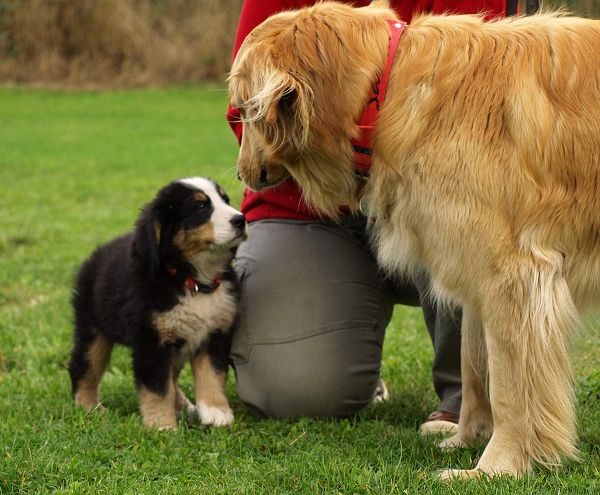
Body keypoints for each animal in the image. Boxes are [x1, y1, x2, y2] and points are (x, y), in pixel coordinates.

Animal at [69, 178, 246, 430]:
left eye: (226, 199)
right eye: (201, 206)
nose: (241, 220)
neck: (193, 282)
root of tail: (95, 256)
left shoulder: (215, 333)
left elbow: (212, 374)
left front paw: (216, 412)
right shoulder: (151, 341)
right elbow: (157, 388)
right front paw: (162, 425)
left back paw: (185, 406)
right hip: (93, 329)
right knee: (84, 367)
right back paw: (89, 406)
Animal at [227, 0, 600, 480]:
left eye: (242, 110)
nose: (241, 175)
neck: (386, 90)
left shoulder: (513, 275)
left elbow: (510, 389)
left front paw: (496, 467)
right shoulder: (475, 267)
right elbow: (474, 368)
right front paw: (464, 439)